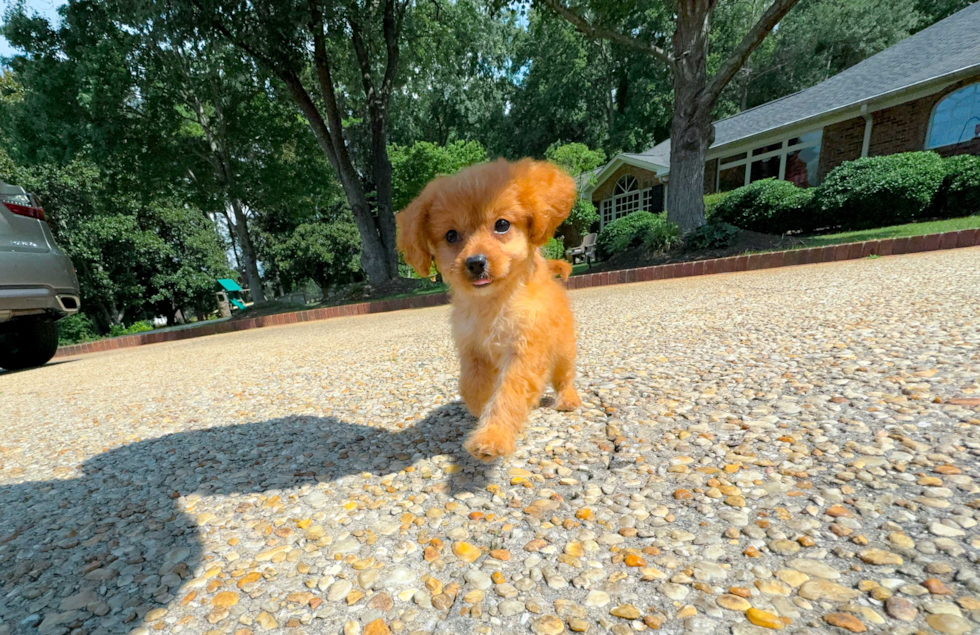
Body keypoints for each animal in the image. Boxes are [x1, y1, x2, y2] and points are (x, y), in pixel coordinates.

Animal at [398, 159, 580, 462]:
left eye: (502, 225)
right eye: (451, 235)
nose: (475, 262)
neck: (491, 304)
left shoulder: (524, 352)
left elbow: (508, 396)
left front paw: (492, 436)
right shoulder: (472, 349)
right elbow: (472, 388)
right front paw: (482, 409)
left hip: (564, 350)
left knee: (564, 377)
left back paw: (568, 399)